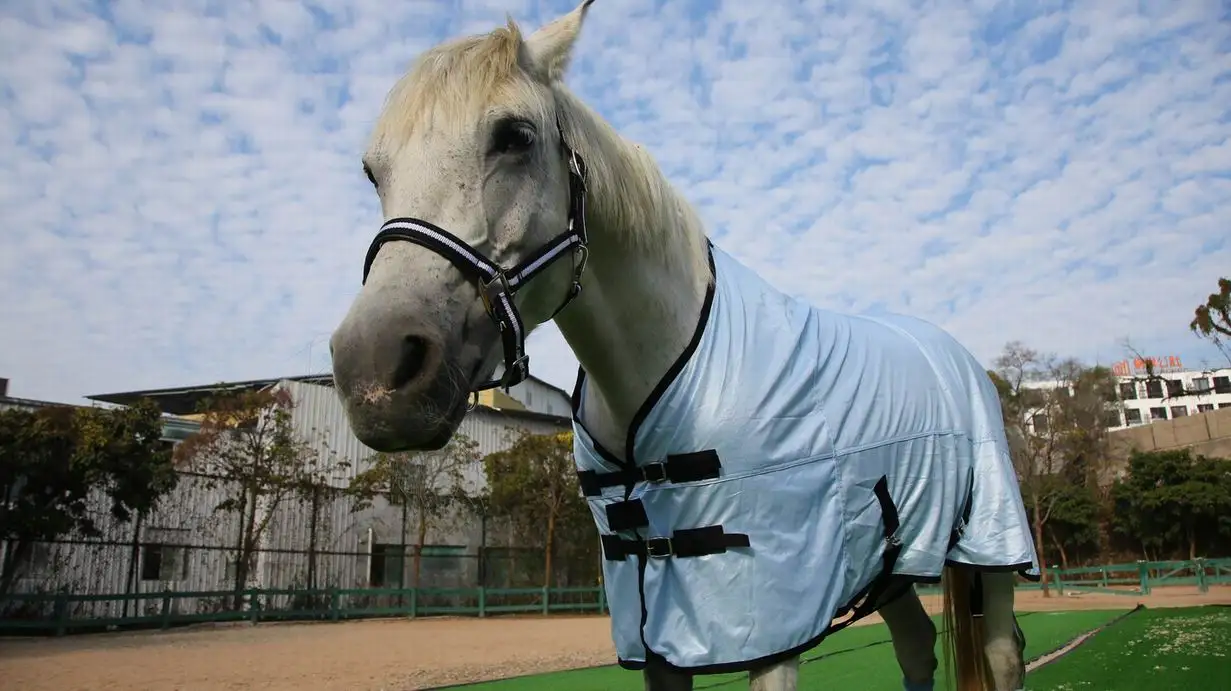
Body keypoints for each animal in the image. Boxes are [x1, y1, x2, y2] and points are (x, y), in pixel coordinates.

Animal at [329, 3, 1039, 690]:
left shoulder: (771, 619)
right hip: (891, 563)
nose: (376, 373)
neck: (665, 366)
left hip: (989, 546)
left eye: (515, 136)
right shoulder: (655, 627)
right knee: (917, 647)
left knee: (1002, 654)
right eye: (373, 171)